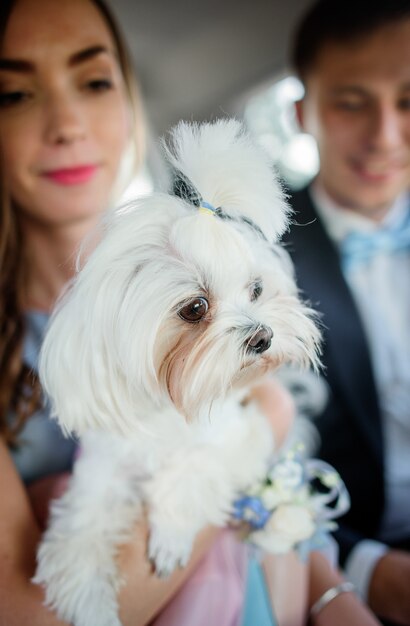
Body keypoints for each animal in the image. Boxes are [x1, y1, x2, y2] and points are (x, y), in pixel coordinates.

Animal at [33, 120, 320, 624]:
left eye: (256, 289)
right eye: (195, 307)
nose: (263, 336)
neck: (170, 406)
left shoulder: (239, 434)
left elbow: (195, 466)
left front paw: (169, 535)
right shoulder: (102, 471)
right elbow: (81, 527)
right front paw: (89, 599)